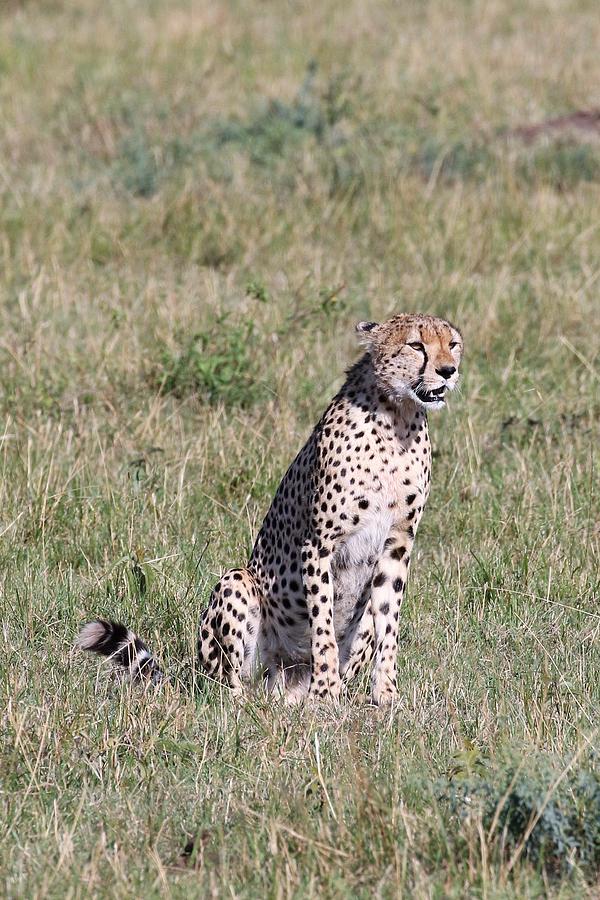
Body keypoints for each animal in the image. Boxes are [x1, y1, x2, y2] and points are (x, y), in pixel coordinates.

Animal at [78, 312, 464, 708]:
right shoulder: (319, 543)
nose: (448, 370)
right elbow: (323, 627)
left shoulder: (397, 544)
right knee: (225, 686)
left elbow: (390, 622)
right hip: (237, 586)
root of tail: (282, 689)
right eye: (416, 345)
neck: (397, 415)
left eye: (452, 344)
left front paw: (386, 696)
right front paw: (326, 694)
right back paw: (247, 701)